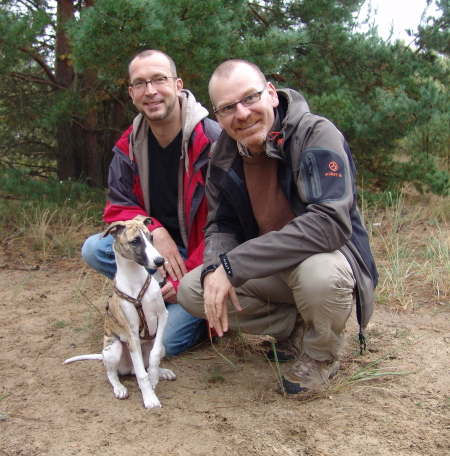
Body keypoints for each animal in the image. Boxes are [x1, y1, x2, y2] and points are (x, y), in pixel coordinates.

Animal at [64, 216, 176, 408]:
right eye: (135, 241)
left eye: (151, 237)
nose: (160, 261)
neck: (135, 280)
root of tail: (128, 368)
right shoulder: (131, 333)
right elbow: (142, 375)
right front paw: (150, 398)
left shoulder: (162, 316)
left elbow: (153, 357)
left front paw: (154, 377)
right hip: (113, 349)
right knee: (114, 373)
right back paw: (119, 388)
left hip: (161, 347)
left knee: (149, 360)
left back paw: (162, 372)